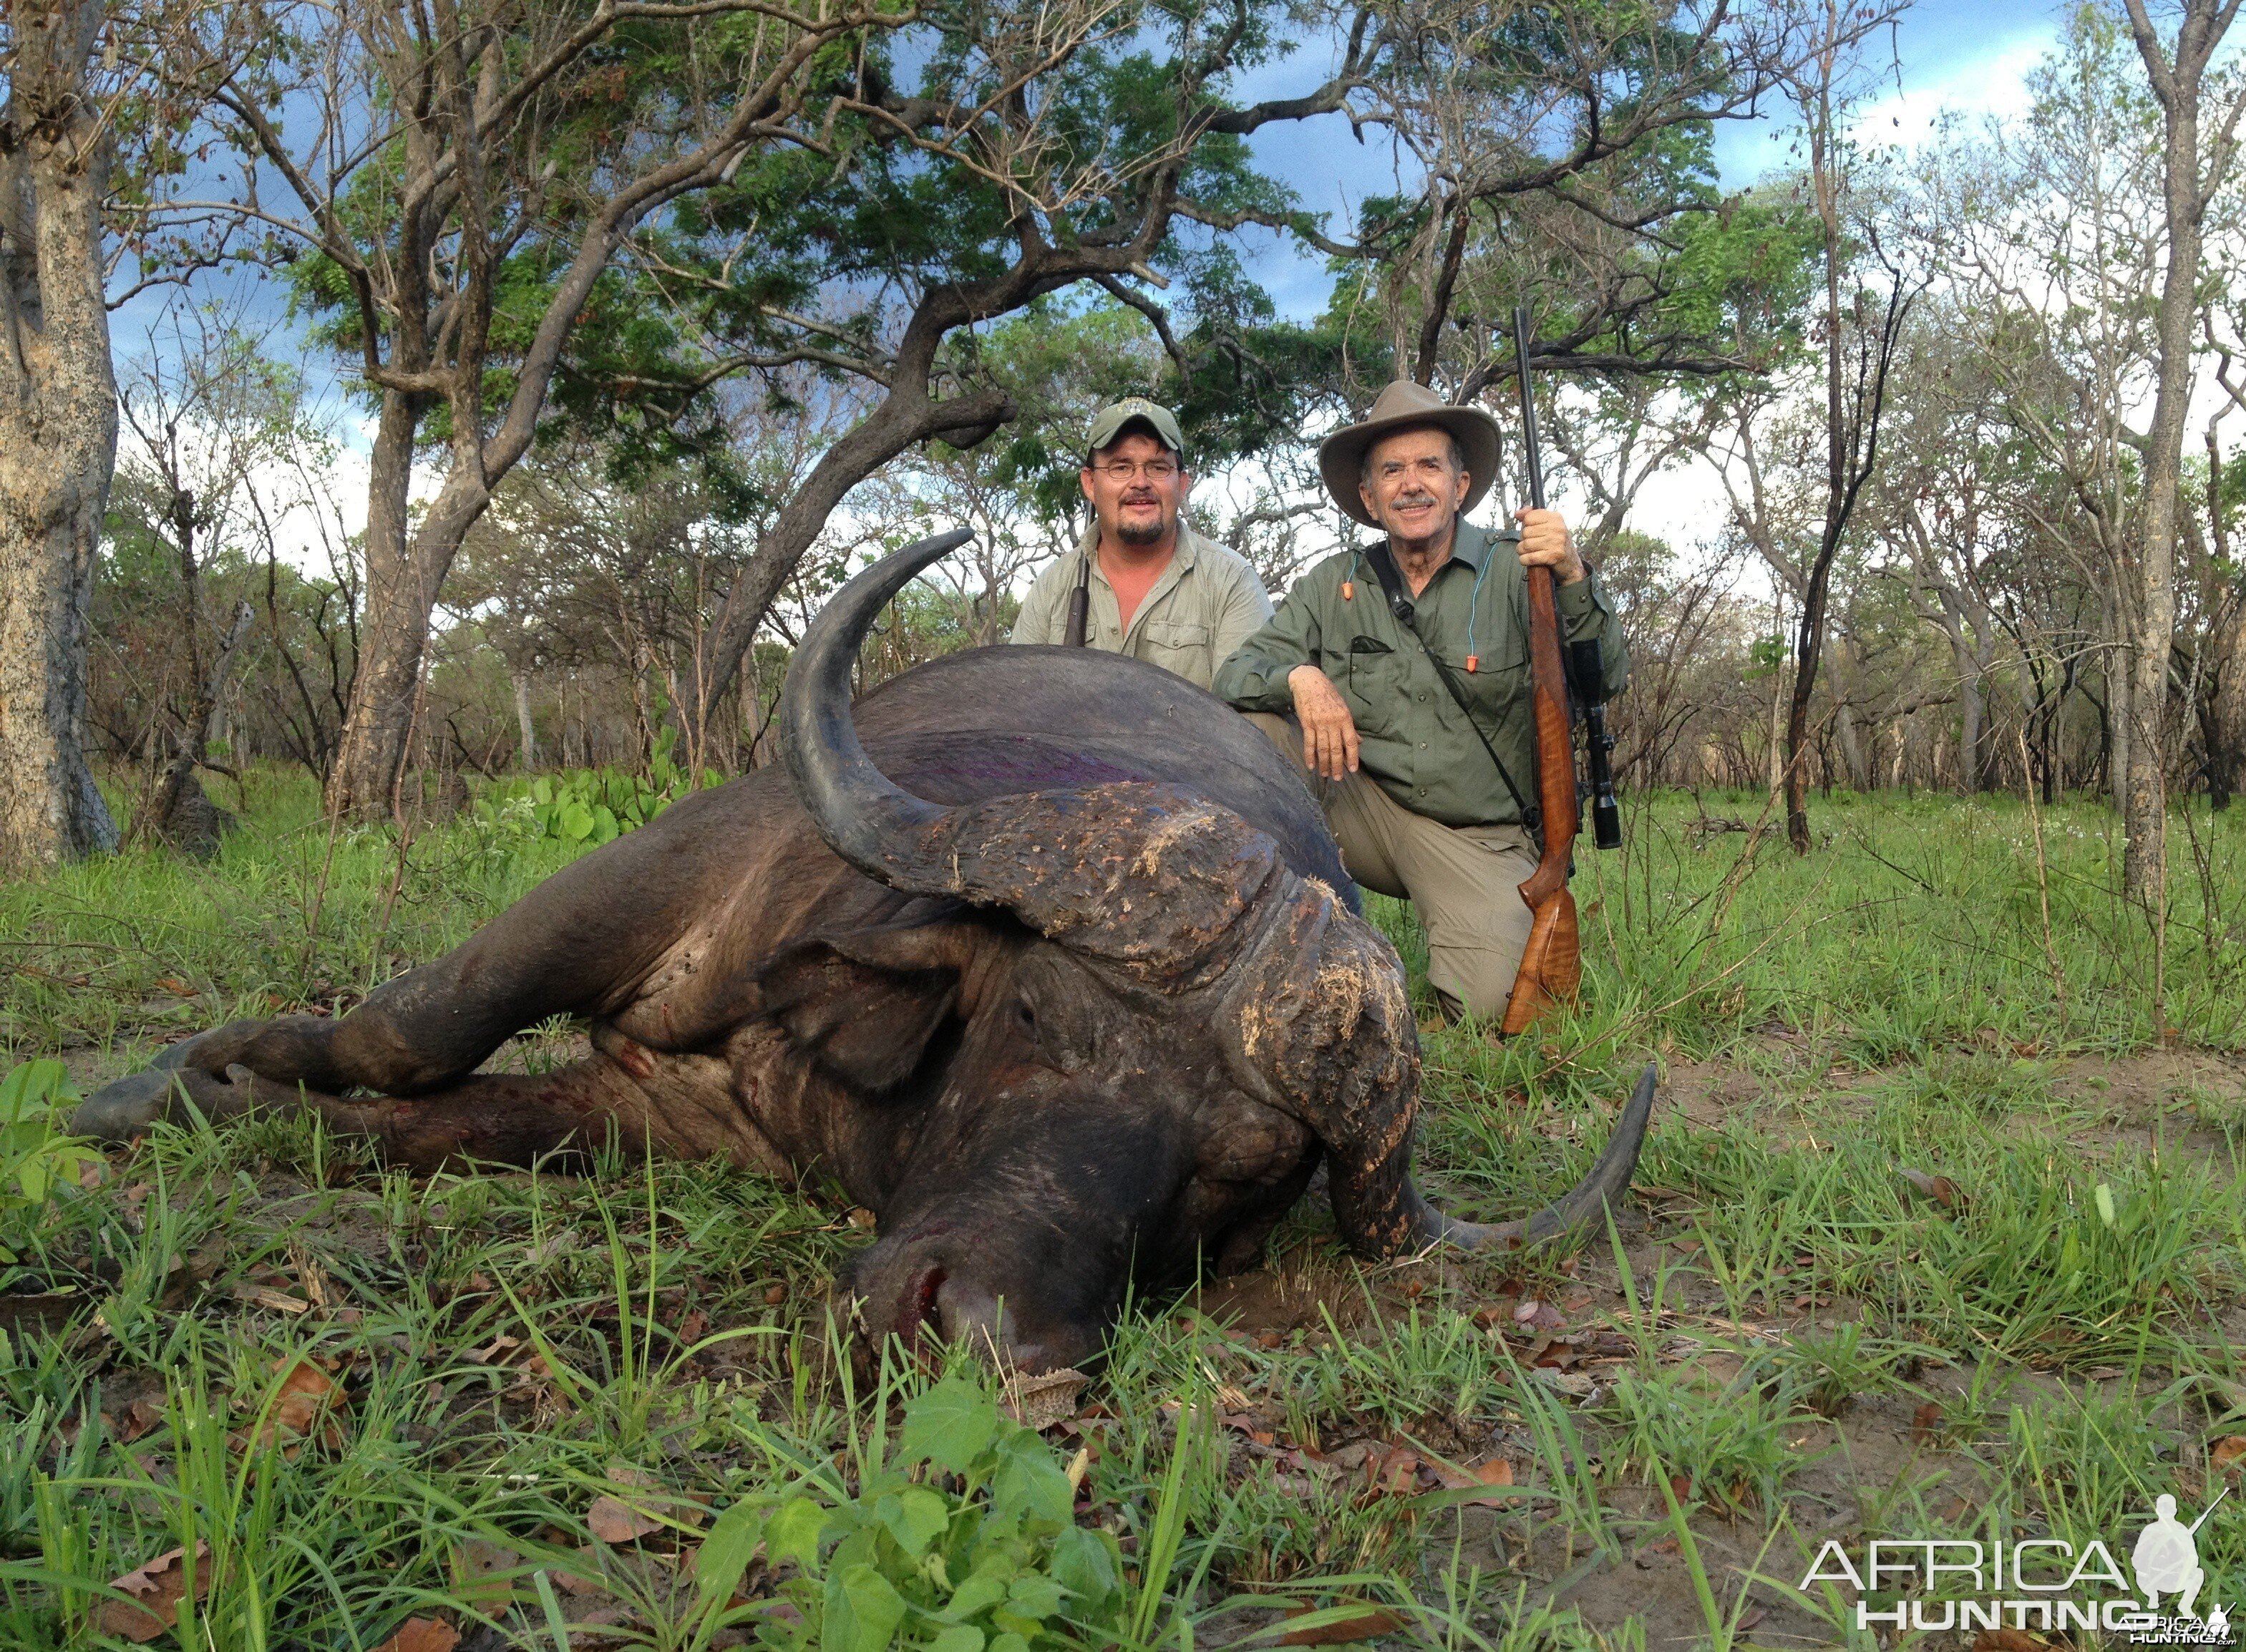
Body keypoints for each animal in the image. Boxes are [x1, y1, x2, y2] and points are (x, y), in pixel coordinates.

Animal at [79, 525, 1662, 1364]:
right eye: (1035, 1016)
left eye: (1241, 1174)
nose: (970, 1327)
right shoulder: (648, 876)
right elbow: (412, 1027)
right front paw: (159, 1081)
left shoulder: (657, 1115)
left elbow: (435, 1121)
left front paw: (235, 1103)